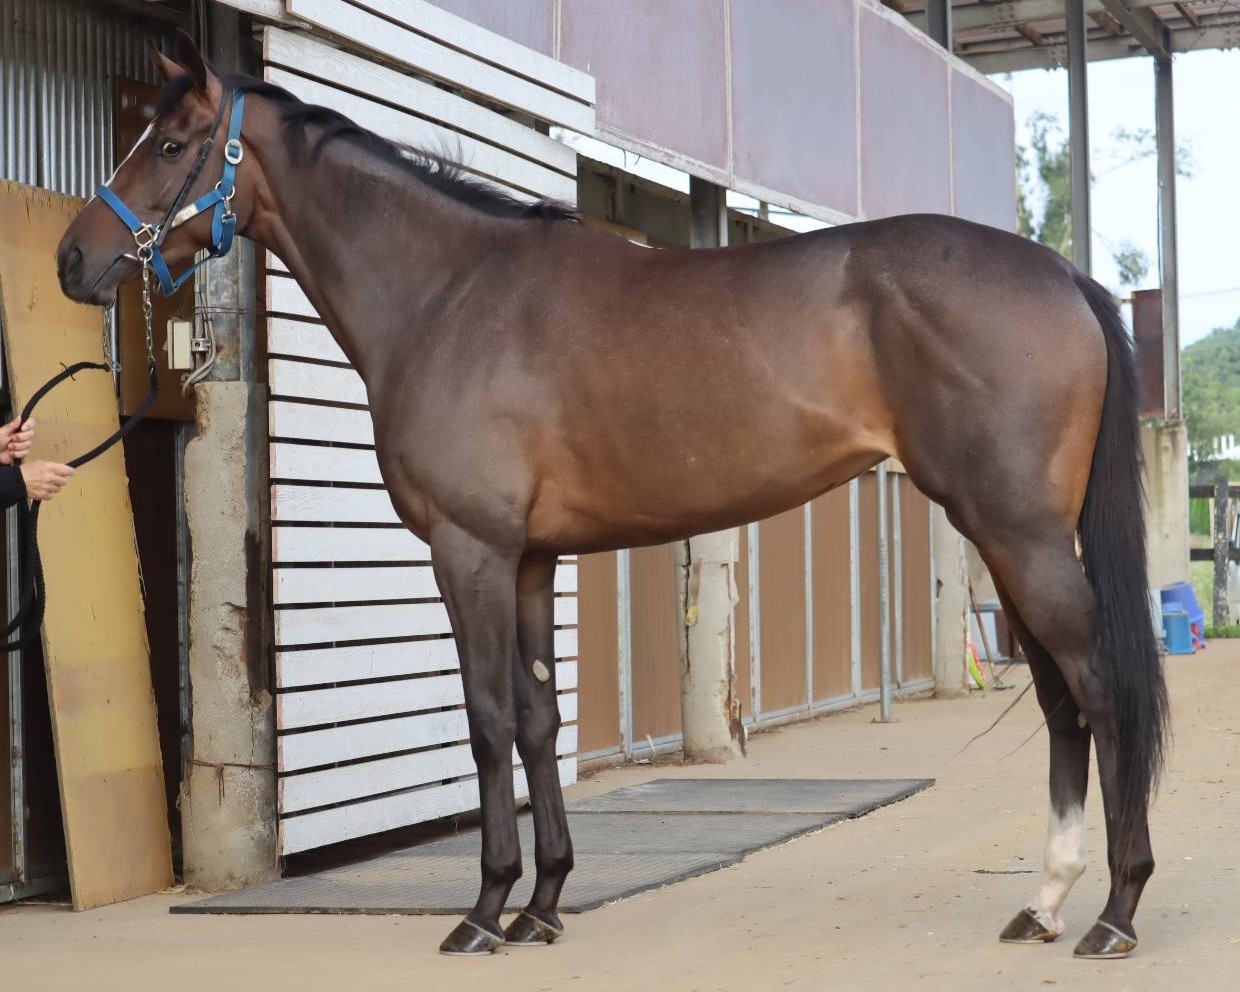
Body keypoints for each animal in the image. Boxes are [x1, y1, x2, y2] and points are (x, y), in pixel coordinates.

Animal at [57, 35, 1168, 960]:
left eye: (170, 142)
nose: (74, 259)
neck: (447, 294)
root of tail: (1062, 275)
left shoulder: (468, 549)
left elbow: (487, 718)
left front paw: (484, 909)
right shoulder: (529, 558)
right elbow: (539, 718)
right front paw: (544, 902)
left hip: (1020, 534)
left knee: (1099, 688)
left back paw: (1114, 910)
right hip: (1006, 537)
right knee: (1064, 699)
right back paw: (1046, 899)